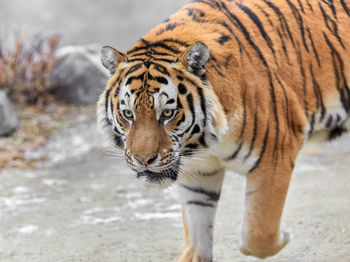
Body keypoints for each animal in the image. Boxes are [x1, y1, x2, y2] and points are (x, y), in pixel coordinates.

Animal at [97, 0, 350, 260]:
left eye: (167, 113)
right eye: (128, 114)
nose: (143, 159)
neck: (203, 144)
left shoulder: (275, 156)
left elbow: (257, 233)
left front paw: (285, 236)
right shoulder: (197, 177)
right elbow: (198, 235)